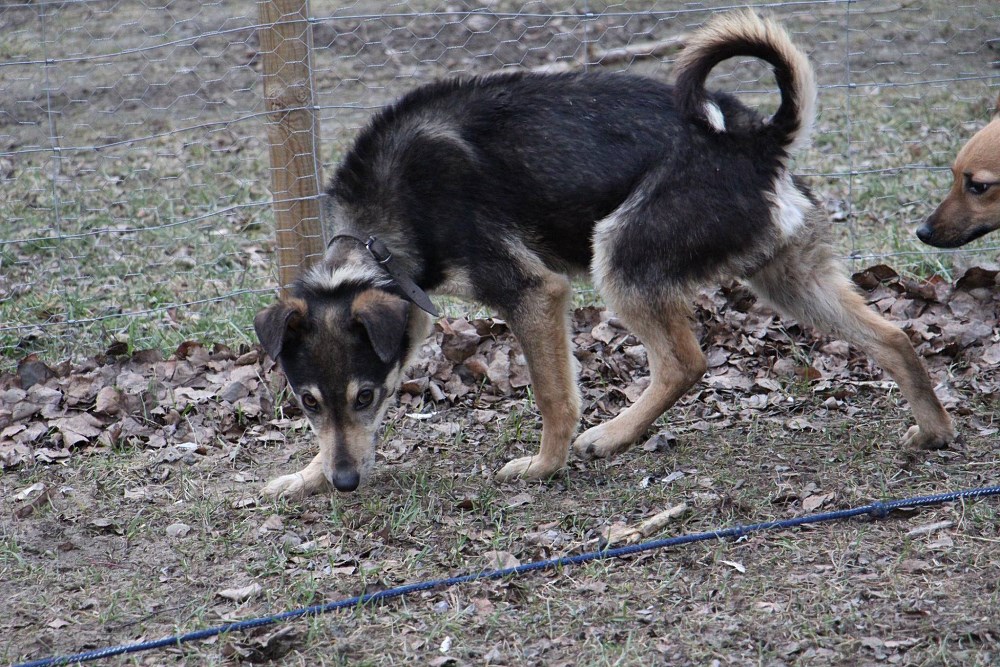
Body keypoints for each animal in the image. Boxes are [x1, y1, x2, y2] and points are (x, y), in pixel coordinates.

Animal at [254, 10, 955, 498]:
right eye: (308, 403)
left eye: (365, 396)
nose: (345, 485)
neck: (381, 227)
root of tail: (758, 140)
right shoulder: (417, 309)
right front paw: (307, 475)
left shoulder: (535, 294)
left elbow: (554, 399)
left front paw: (543, 466)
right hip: (790, 279)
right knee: (893, 337)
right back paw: (934, 430)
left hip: (616, 256)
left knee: (685, 362)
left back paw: (612, 436)